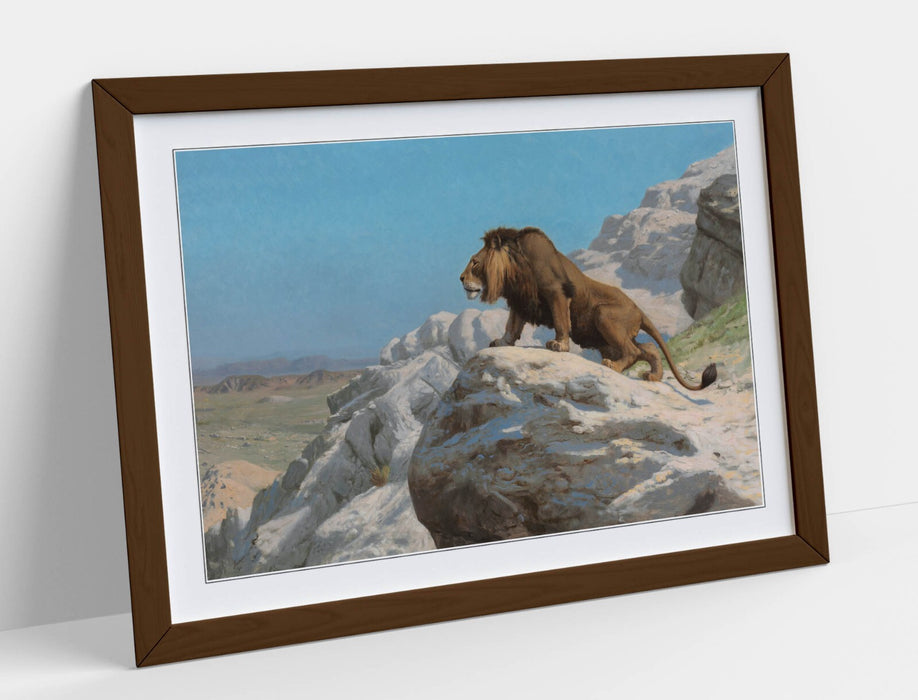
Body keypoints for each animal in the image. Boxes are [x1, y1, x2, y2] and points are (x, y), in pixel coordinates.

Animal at [460, 226, 716, 391]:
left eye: (475, 262)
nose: (461, 278)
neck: (515, 270)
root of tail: (639, 309)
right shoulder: (521, 300)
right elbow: (512, 325)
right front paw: (501, 342)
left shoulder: (556, 293)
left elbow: (561, 320)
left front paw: (559, 345)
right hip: (607, 339)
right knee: (648, 348)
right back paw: (654, 376)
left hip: (604, 315)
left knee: (633, 351)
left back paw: (614, 366)